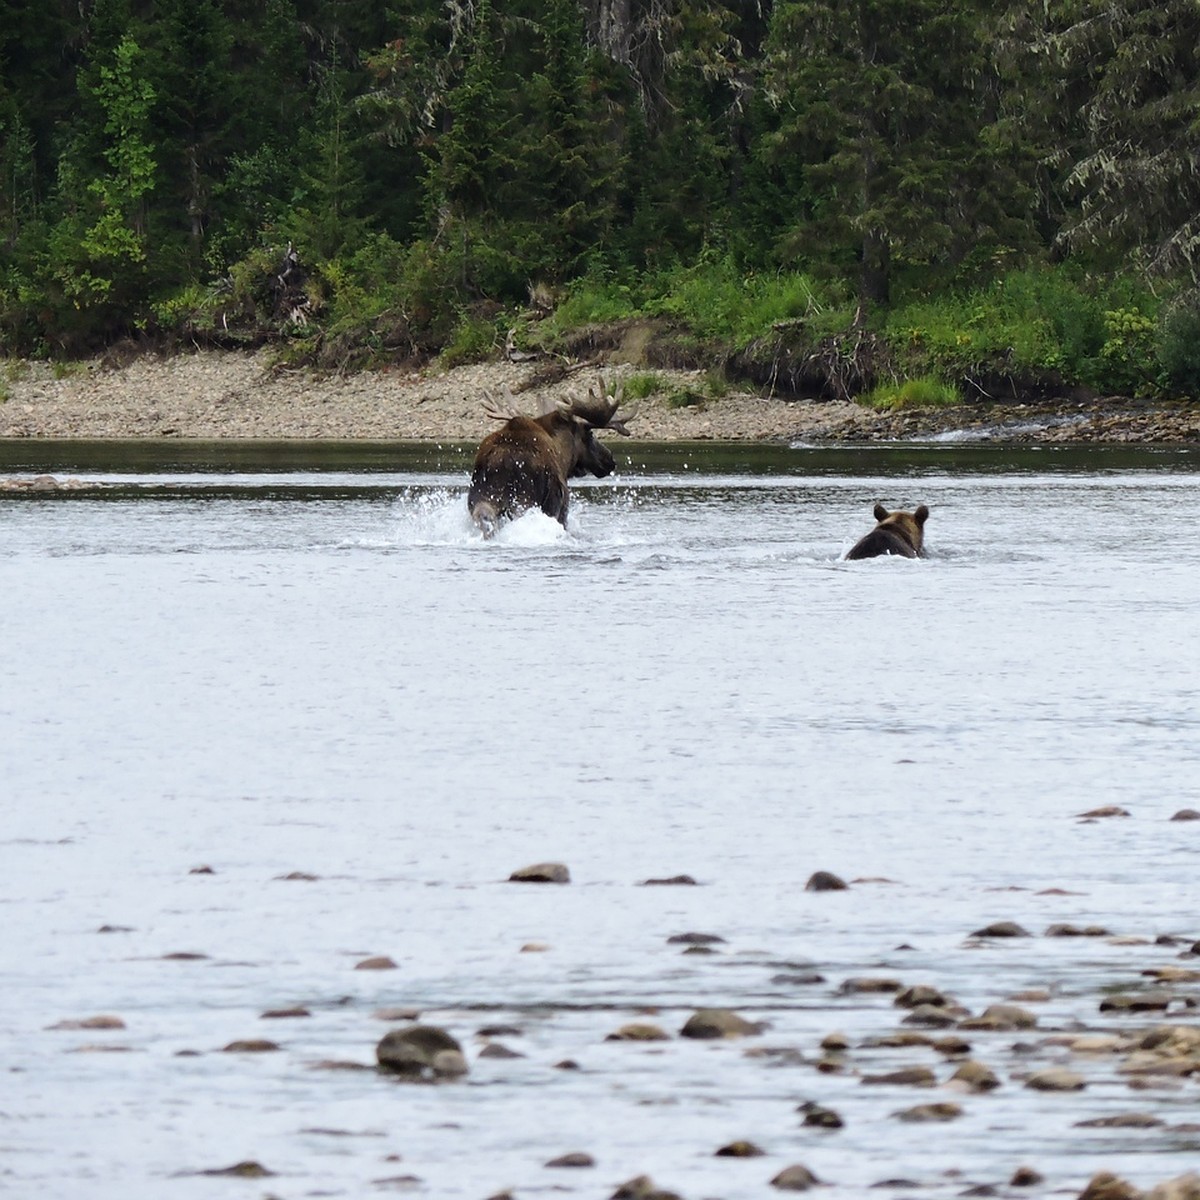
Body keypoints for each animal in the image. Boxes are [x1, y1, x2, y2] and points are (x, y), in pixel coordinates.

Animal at [468, 376, 638, 537]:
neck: (563, 454)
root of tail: (504, 461)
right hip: (524, 501)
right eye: (590, 434)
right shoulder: (561, 503)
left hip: (482, 499)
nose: (609, 459)